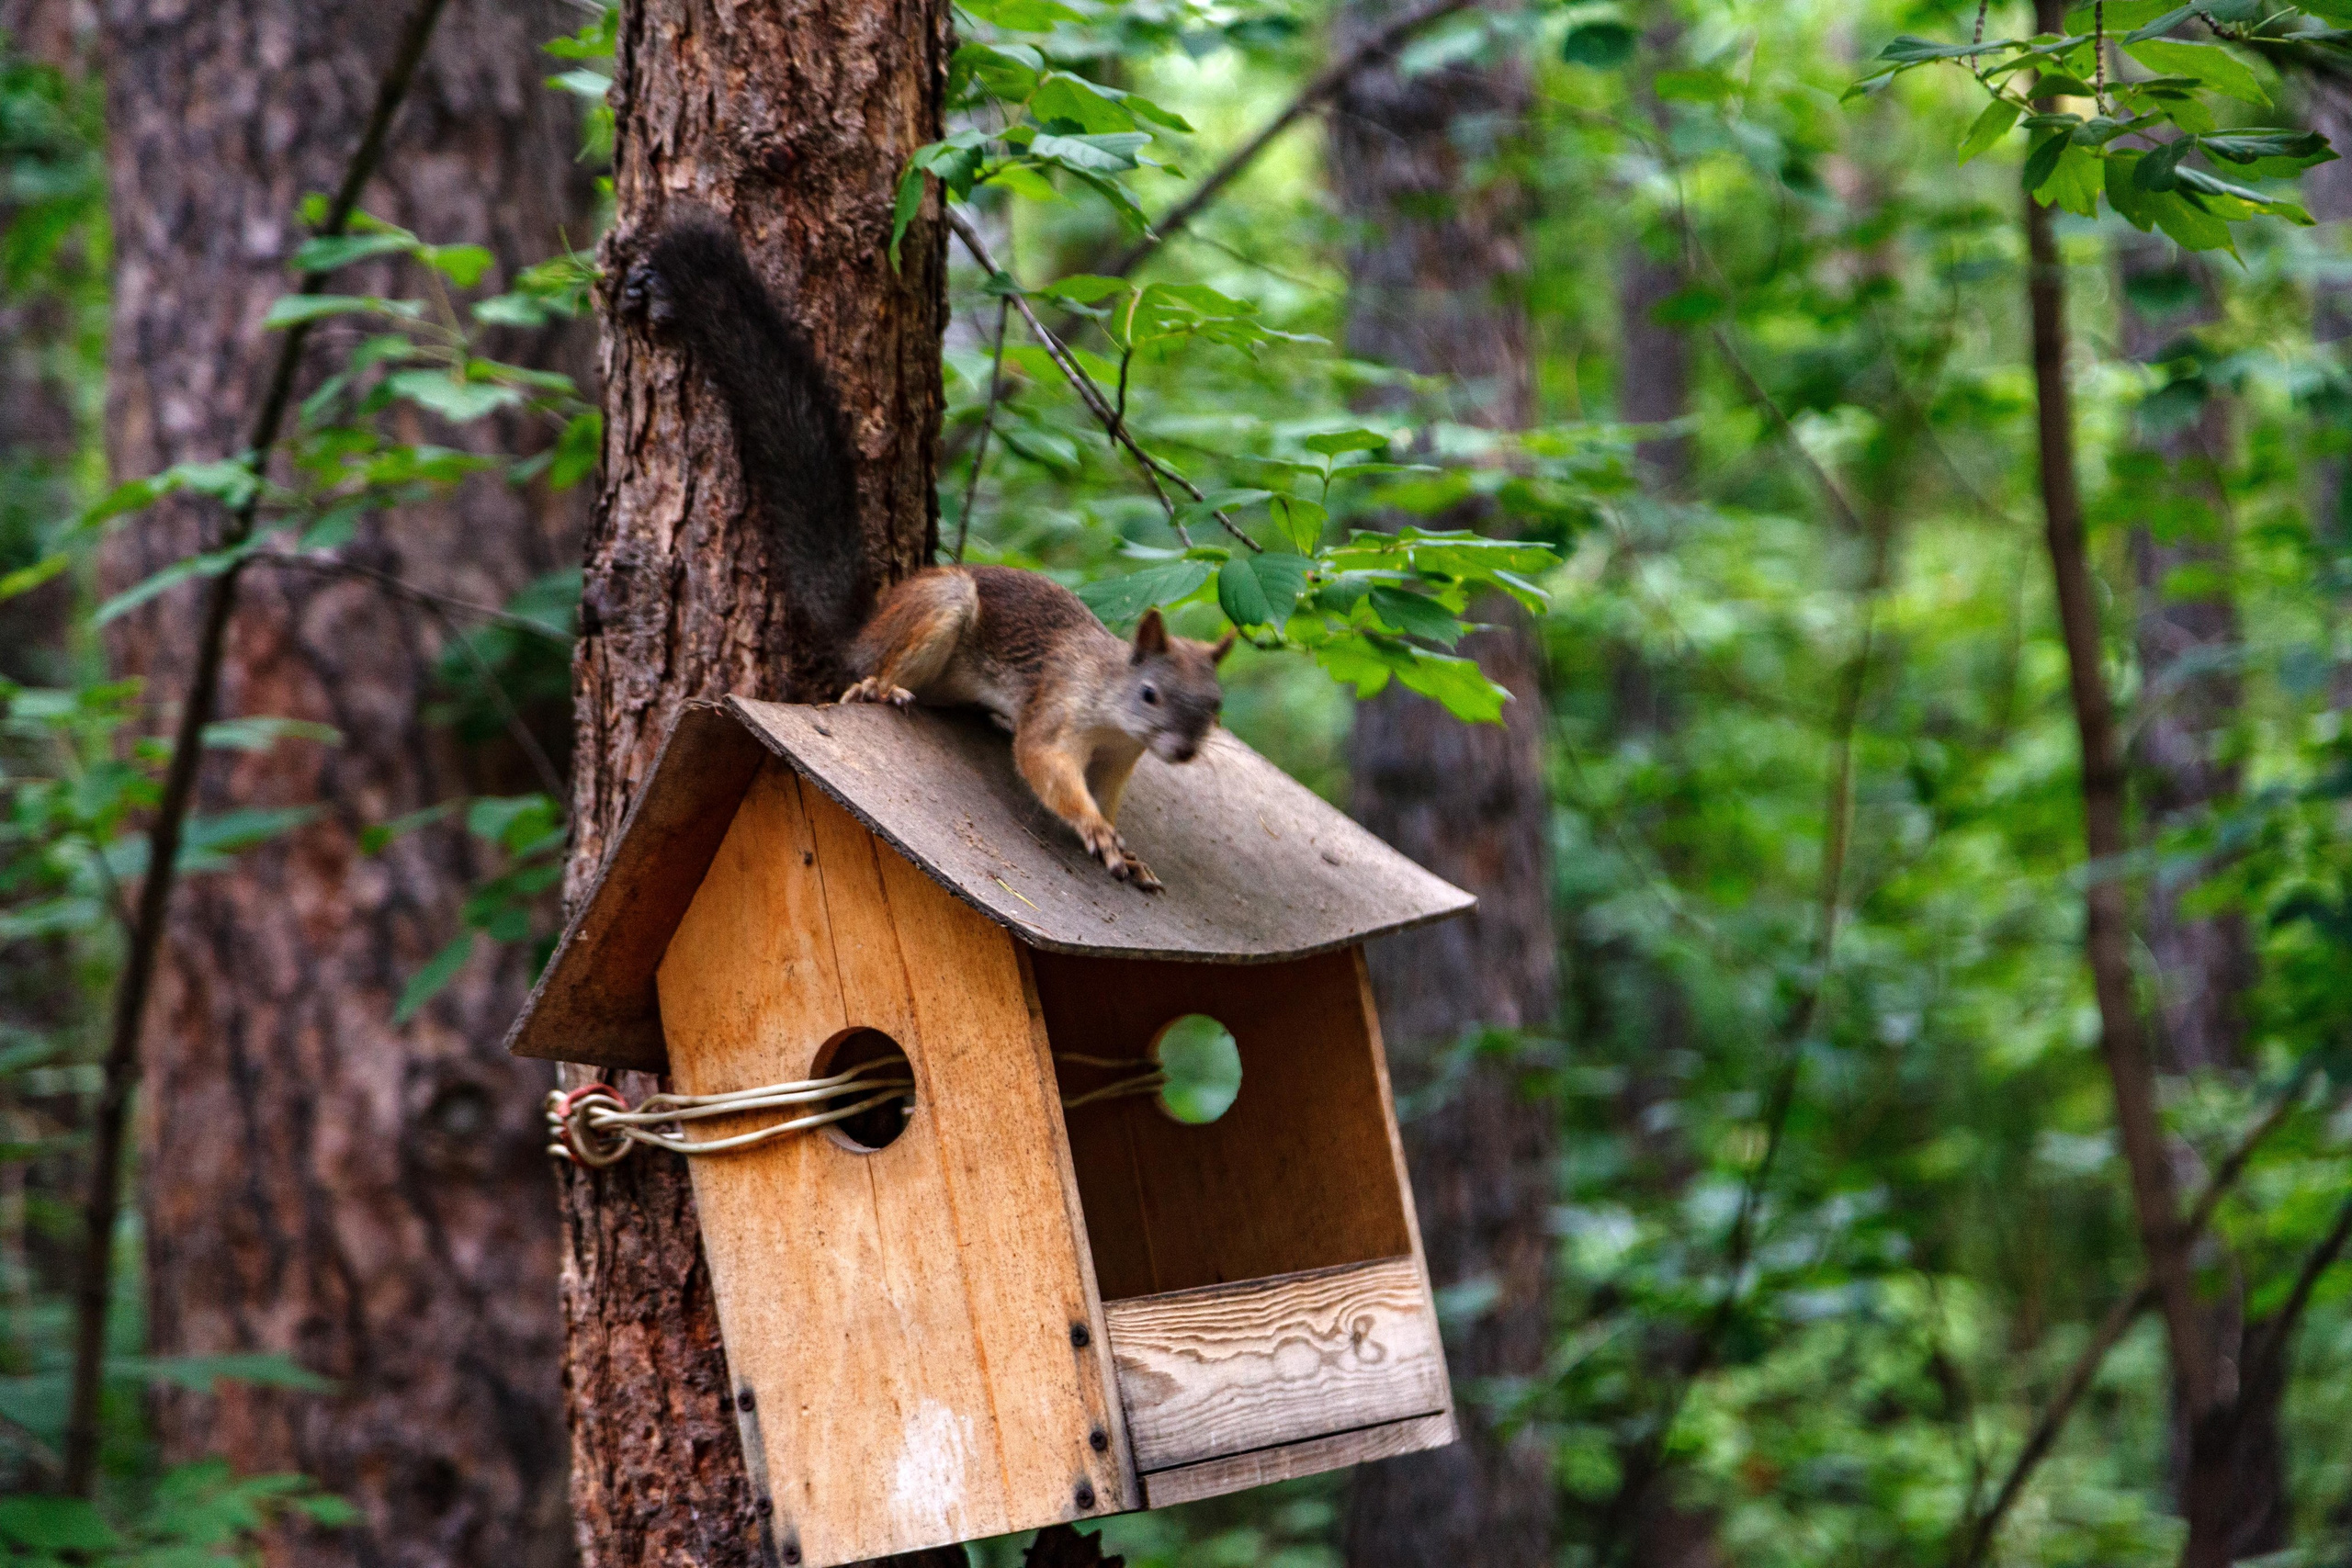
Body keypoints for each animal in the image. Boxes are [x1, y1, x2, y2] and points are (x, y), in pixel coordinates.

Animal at [620, 217, 1233, 891]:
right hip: (938, 606)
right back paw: (882, 689)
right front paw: (1096, 830)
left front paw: (1128, 851)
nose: (1185, 750)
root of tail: (866, 628)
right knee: (873, 678)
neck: (1111, 704)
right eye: (1150, 694)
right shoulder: (1059, 707)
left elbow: (1106, 792)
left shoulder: (1120, 759)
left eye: (1215, 706)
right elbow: (1042, 762)